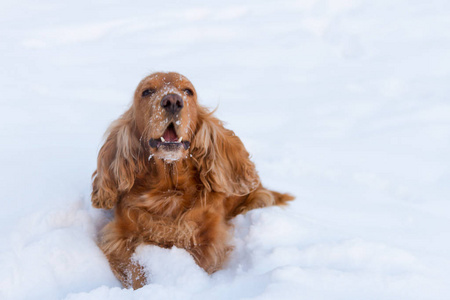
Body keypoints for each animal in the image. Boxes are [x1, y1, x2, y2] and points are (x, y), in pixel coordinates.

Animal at [92, 72, 294, 288]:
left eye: (188, 91)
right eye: (146, 91)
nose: (172, 101)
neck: (169, 189)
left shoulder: (209, 239)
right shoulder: (118, 235)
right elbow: (134, 267)